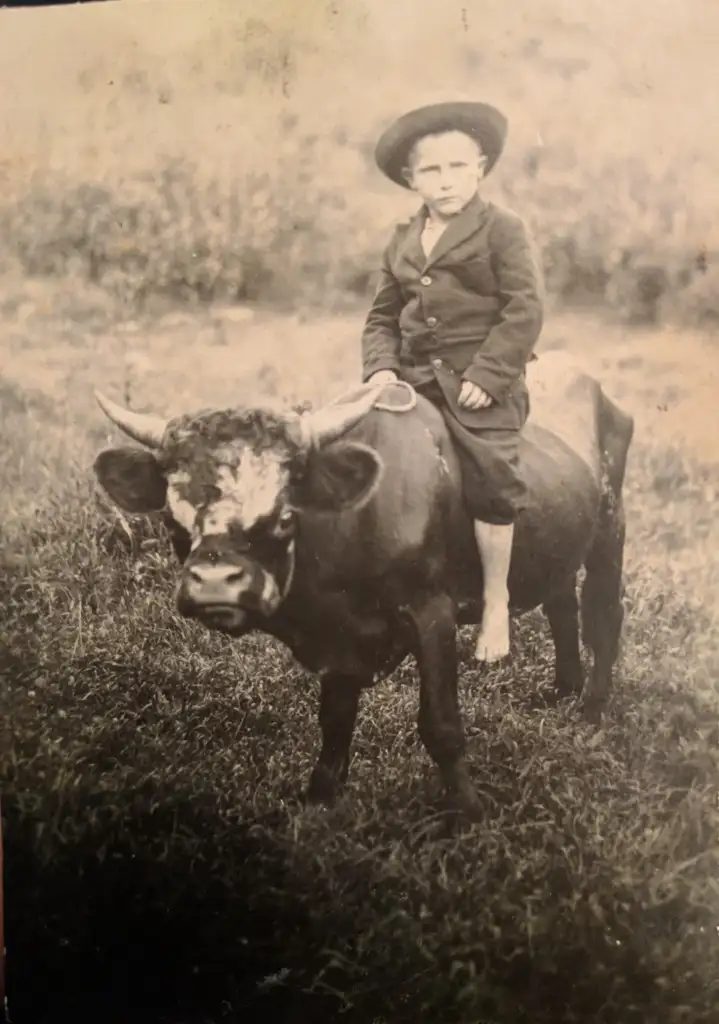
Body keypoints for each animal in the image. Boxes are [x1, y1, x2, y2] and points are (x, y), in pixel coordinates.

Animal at [91, 350, 635, 815]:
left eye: (285, 515)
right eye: (173, 519)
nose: (215, 585)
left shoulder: (432, 614)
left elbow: (440, 725)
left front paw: (468, 810)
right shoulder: (340, 640)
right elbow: (334, 723)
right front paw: (319, 801)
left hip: (610, 528)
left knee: (603, 616)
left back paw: (591, 710)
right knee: (561, 605)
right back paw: (563, 691)